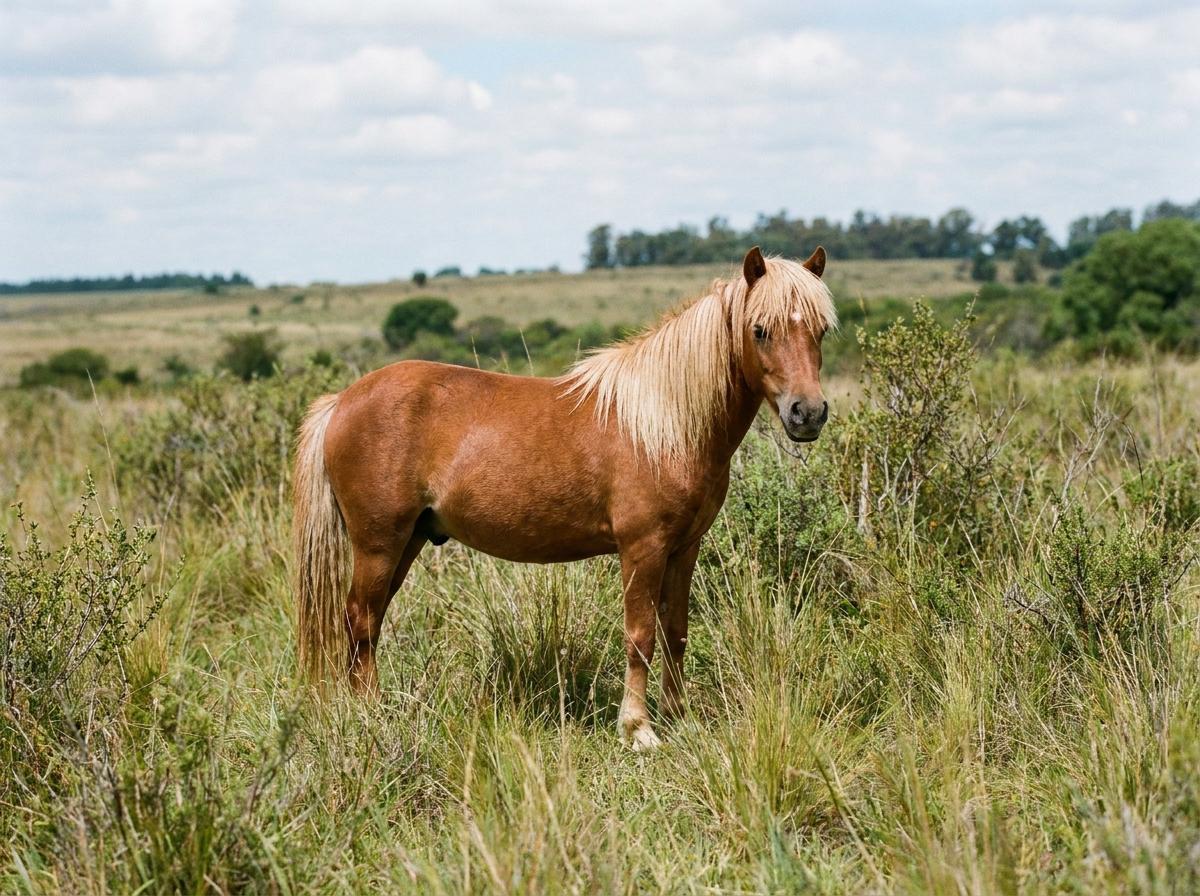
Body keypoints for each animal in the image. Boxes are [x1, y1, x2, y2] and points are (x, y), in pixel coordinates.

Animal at [293, 246, 835, 750]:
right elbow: (640, 636)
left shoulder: (684, 548)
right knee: (361, 619)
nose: (807, 413)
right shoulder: (642, 549)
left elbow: (675, 632)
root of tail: (341, 401)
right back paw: (370, 714)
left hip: (407, 541)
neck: (662, 425)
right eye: (760, 330)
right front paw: (637, 729)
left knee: (368, 622)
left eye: (821, 330)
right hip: (379, 543)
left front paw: (678, 718)